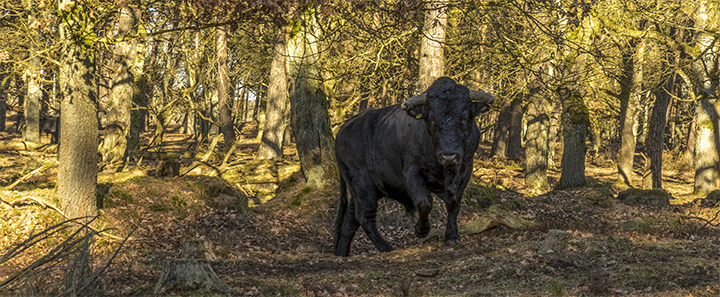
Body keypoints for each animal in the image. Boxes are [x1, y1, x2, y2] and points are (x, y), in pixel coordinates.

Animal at [334, 77, 492, 256]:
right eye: (431, 119)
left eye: (465, 118)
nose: (449, 155)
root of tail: (343, 129)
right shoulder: (412, 174)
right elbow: (424, 203)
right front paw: (421, 230)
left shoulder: (465, 171)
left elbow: (454, 205)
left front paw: (452, 237)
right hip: (362, 184)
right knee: (364, 217)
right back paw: (386, 248)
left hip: (360, 190)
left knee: (350, 221)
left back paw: (341, 253)